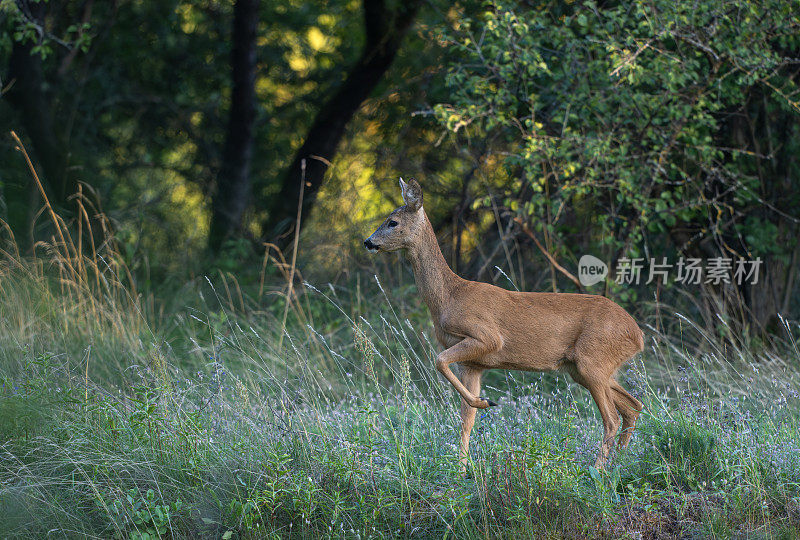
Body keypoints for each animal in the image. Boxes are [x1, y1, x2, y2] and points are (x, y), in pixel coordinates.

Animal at [366, 179, 648, 470]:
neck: (449, 297)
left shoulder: (486, 337)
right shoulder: (473, 364)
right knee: (633, 406)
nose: (368, 242)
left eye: (392, 222)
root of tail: (637, 334)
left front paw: (484, 403)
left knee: (612, 418)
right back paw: (620, 463)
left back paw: (598, 470)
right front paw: (462, 467)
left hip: (592, 360)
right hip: (583, 368)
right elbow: (466, 419)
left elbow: (439, 360)